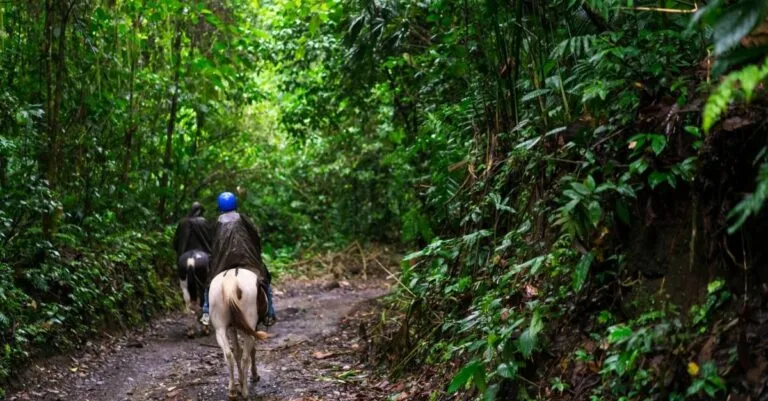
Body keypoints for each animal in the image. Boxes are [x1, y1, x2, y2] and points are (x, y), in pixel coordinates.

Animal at [208, 268, 268, 398]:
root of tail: (230, 279)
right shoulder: (252, 328)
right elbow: (251, 351)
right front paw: (253, 376)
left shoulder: (232, 328)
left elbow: (236, 351)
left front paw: (239, 382)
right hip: (249, 326)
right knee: (246, 357)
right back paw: (245, 391)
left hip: (220, 329)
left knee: (229, 355)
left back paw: (232, 391)